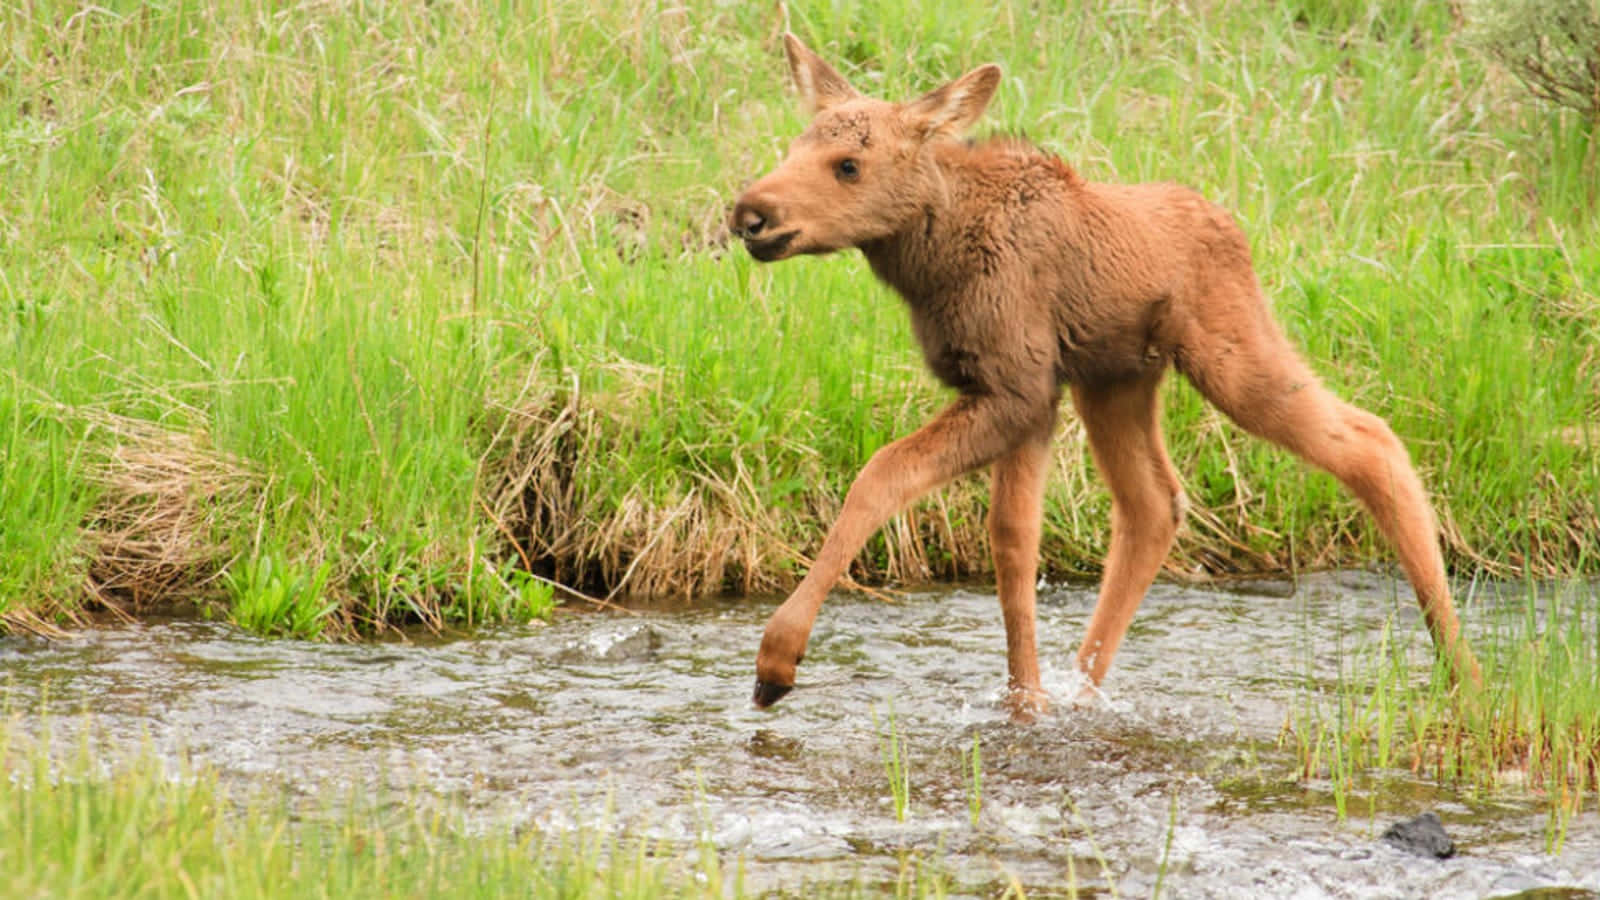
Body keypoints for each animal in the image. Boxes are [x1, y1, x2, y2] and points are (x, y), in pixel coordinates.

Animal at [728, 34, 1481, 721]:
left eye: (848, 165)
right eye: (792, 147)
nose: (750, 213)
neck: (929, 263)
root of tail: (1232, 226)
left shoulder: (1016, 388)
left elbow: (880, 476)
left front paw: (777, 662)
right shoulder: (1028, 396)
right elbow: (1013, 539)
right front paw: (1027, 702)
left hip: (1229, 355)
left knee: (1369, 439)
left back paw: (1462, 669)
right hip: (1116, 380)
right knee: (1155, 504)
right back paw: (1087, 690)